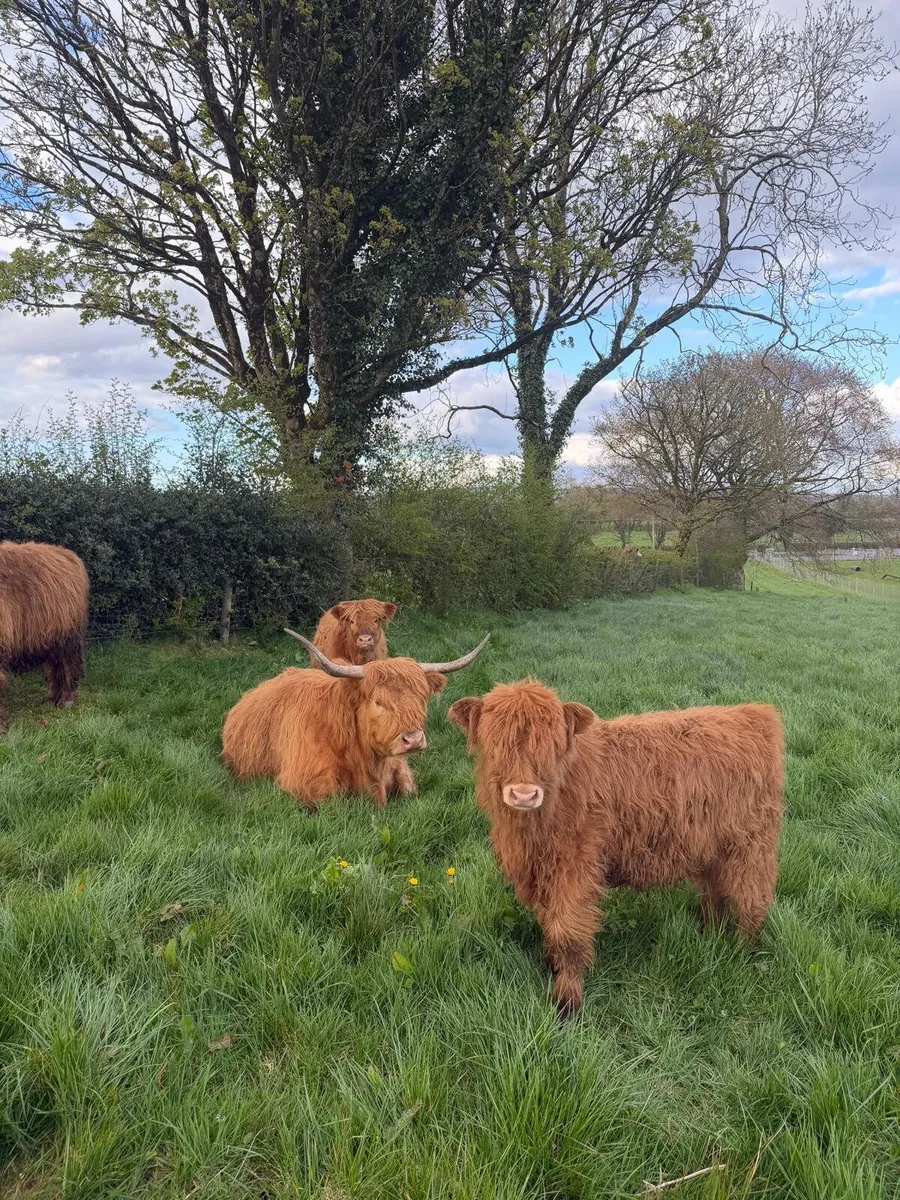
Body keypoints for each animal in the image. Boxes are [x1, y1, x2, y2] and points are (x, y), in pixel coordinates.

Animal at [0, 540, 89, 731]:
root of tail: (65, 553)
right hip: (48, 637)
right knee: (53, 667)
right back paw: (50, 700)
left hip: (67, 636)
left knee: (69, 665)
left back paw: (66, 700)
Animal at [223, 630, 489, 809]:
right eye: (378, 702)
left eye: (421, 698)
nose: (413, 740)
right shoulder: (304, 784)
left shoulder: (399, 768)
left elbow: (408, 788)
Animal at [448, 680, 784, 1016]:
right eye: (495, 743)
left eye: (552, 745)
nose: (523, 794)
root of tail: (753, 714)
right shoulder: (540, 872)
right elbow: (548, 920)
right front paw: (549, 965)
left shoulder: (575, 870)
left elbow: (568, 930)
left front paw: (567, 1000)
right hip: (709, 848)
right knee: (715, 892)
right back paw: (711, 935)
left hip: (749, 844)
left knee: (751, 897)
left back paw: (743, 951)